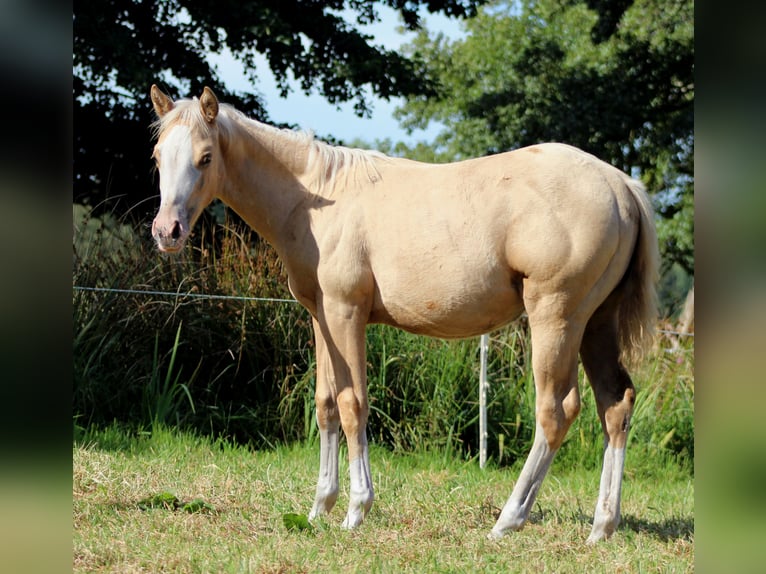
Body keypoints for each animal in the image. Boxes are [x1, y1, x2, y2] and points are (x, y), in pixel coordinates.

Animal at [149, 85, 658, 543]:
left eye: (205, 157)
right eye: (157, 157)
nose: (167, 231)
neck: (316, 198)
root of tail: (621, 186)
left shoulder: (346, 313)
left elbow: (353, 405)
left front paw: (356, 510)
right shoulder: (320, 316)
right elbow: (326, 405)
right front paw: (319, 508)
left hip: (557, 318)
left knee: (555, 411)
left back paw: (507, 520)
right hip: (596, 323)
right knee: (616, 404)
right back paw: (601, 527)